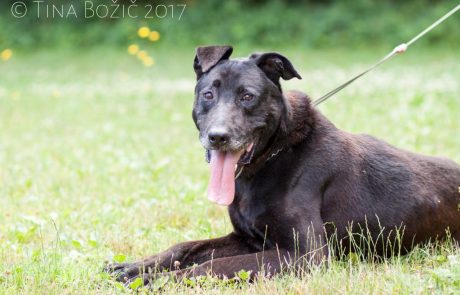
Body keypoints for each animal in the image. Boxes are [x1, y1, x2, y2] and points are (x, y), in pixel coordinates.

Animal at [107, 45, 460, 284]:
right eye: (208, 94)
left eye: (247, 96)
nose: (217, 137)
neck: (273, 155)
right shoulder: (248, 240)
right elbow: (184, 248)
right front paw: (136, 267)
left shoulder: (306, 257)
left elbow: (210, 267)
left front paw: (160, 280)